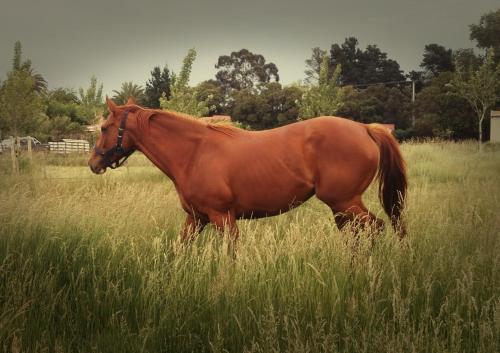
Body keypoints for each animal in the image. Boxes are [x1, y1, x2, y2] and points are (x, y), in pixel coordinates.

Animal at [88, 97, 406, 253]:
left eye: (104, 128)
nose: (93, 163)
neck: (194, 152)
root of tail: (365, 128)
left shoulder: (222, 218)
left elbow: (230, 256)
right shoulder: (196, 218)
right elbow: (179, 249)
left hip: (345, 202)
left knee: (374, 229)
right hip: (342, 207)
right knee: (356, 234)